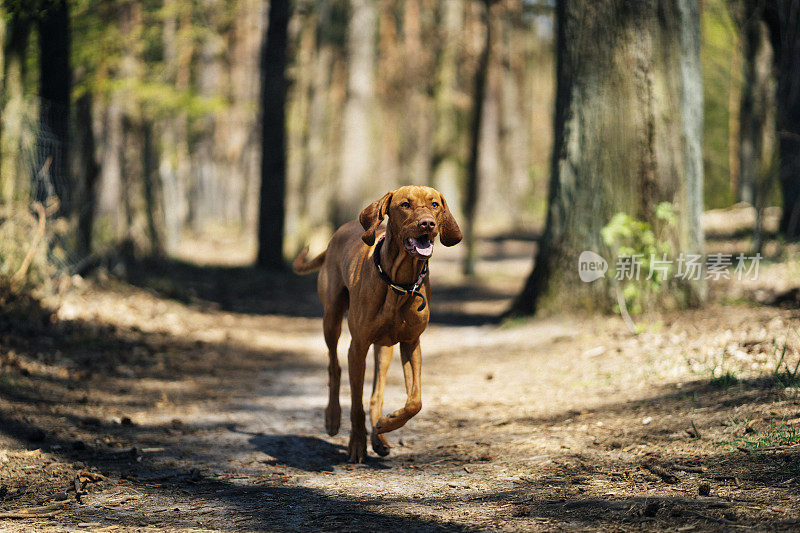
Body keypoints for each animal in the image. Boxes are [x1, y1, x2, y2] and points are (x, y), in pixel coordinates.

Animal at [292, 186, 462, 462]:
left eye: (435, 204)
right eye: (405, 204)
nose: (428, 223)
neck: (400, 283)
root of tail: (338, 232)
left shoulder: (411, 343)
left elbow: (415, 401)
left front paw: (386, 423)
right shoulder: (358, 347)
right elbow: (356, 403)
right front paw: (357, 444)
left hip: (385, 347)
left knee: (377, 393)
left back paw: (379, 436)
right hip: (332, 319)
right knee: (334, 367)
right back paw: (333, 418)